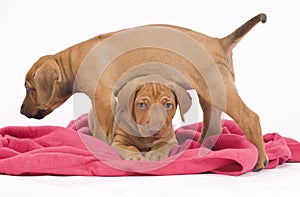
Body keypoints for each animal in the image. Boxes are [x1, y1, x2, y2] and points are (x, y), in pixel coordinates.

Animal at [21, 13, 270, 171]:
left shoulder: (102, 98)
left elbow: (102, 131)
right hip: (209, 93)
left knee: (250, 117)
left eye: (29, 88)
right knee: (214, 125)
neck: (73, 61)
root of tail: (220, 42)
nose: (21, 111)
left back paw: (260, 159)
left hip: (217, 90)